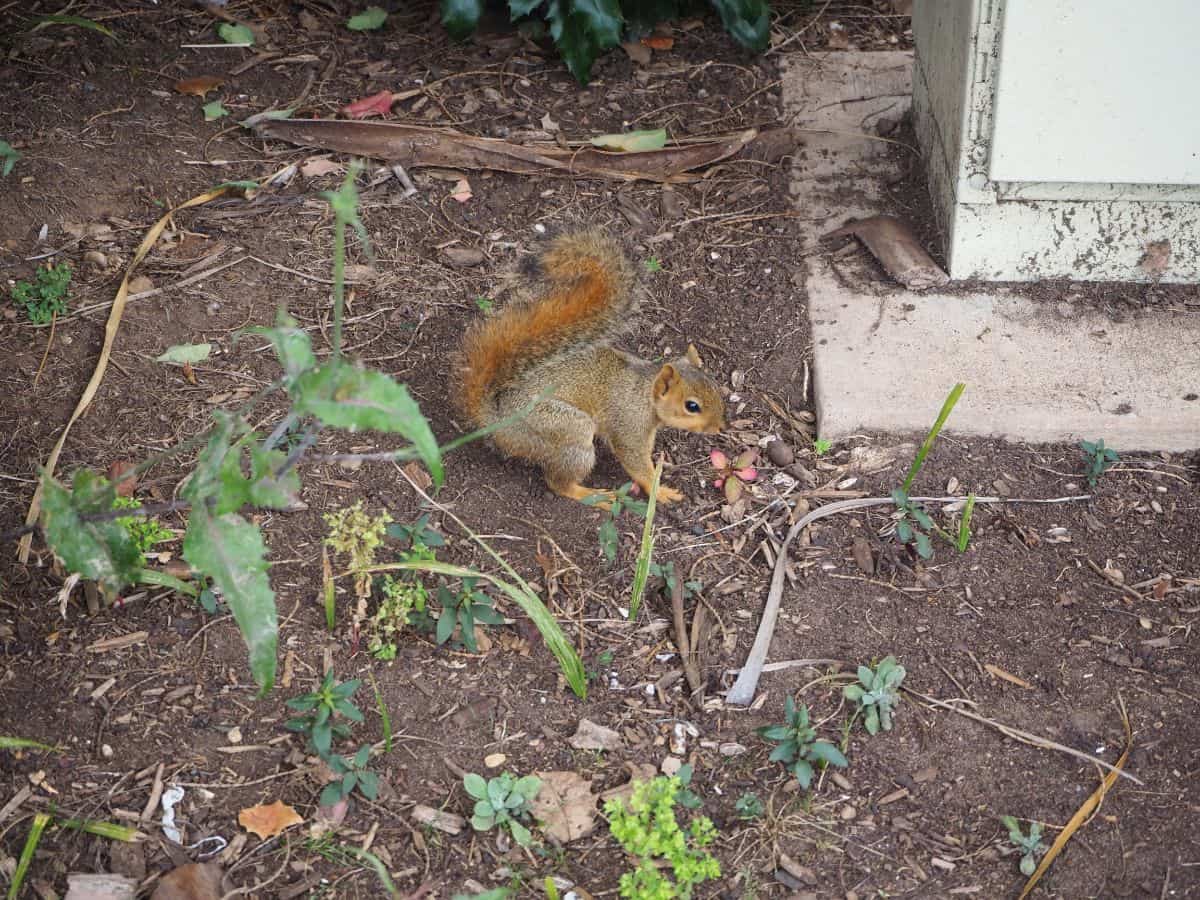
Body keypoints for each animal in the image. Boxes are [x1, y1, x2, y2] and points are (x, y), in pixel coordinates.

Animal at [453, 229, 724, 508]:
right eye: (692, 406)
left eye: (716, 388)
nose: (720, 427)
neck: (644, 392)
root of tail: (497, 421)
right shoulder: (628, 424)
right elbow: (634, 461)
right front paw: (660, 490)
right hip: (566, 429)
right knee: (559, 482)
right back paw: (591, 495)